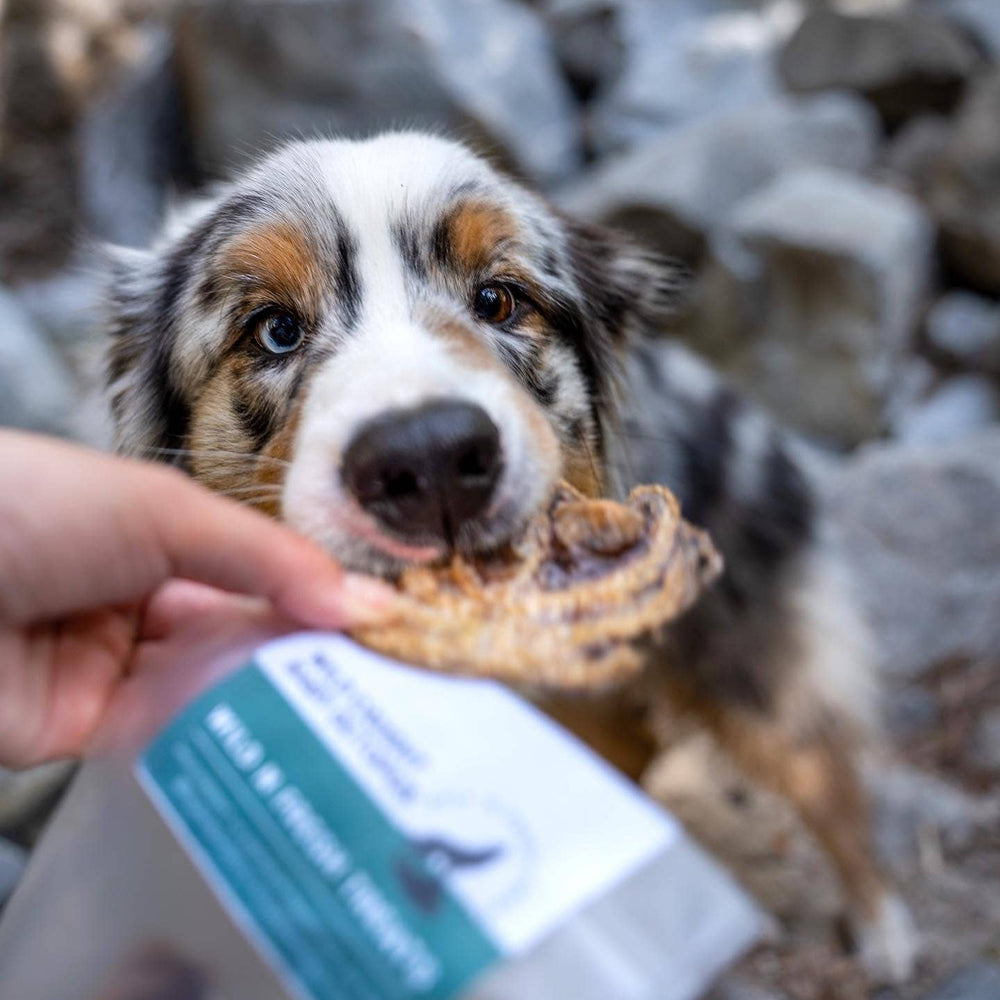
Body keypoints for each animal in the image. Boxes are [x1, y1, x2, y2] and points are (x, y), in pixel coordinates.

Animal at [99, 129, 916, 980]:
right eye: (274, 329)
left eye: (498, 300)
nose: (428, 459)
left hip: (755, 673)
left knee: (825, 774)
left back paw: (881, 924)